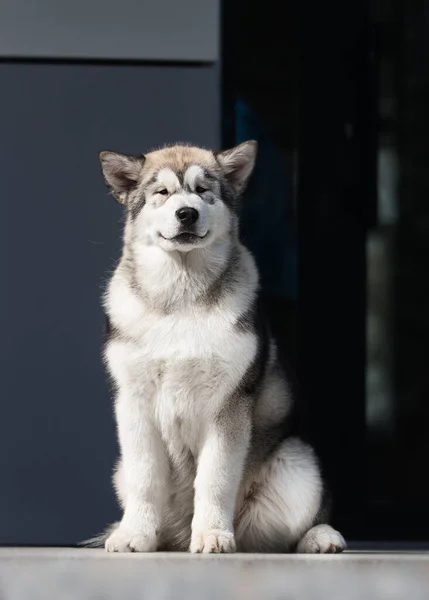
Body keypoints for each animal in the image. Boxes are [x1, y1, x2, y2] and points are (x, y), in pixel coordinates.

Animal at [97, 141, 344, 552]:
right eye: (162, 192)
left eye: (202, 190)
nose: (186, 213)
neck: (180, 300)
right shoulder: (133, 401)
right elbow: (144, 477)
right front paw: (134, 535)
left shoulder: (227, 404)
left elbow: (215, 477)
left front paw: (213, 534)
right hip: (118, 472)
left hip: (300, 466)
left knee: (295, 528)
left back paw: (319, 538)